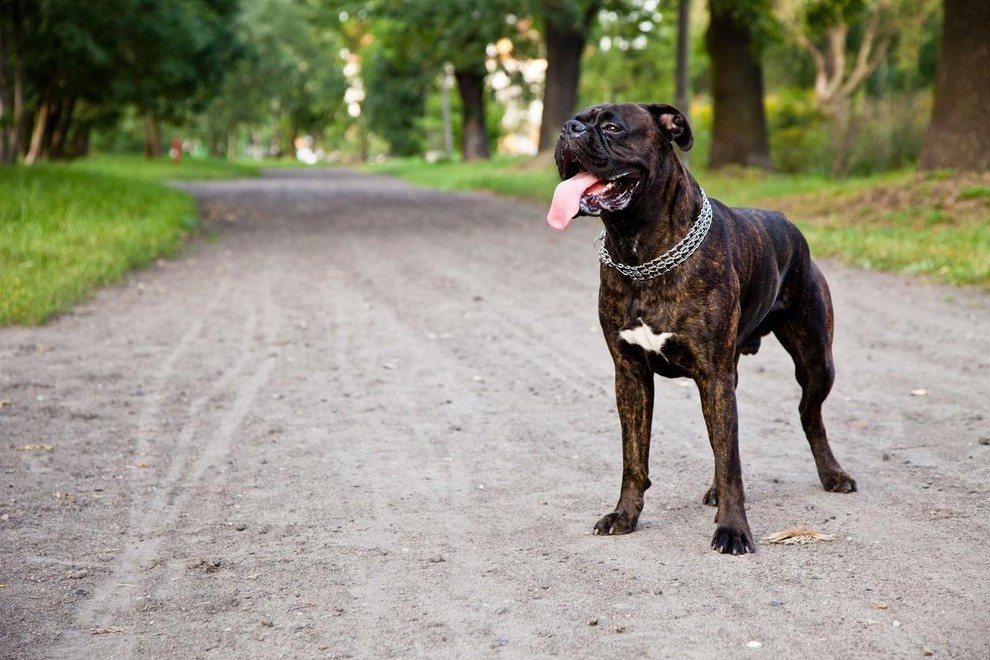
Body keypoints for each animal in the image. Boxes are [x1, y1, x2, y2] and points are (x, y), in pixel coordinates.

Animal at [548, 103, 856, 556]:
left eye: (612, 127)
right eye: (576, 118)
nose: (568, 129)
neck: (641, 251)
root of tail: (785, 222)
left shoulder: (713, 375)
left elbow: (731, 463)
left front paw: (733, 530)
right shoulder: (631, 375)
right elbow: (634, 457)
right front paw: (625, 515)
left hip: (816, 361)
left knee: (808, 416)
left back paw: (833, 474)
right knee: (721, 439)